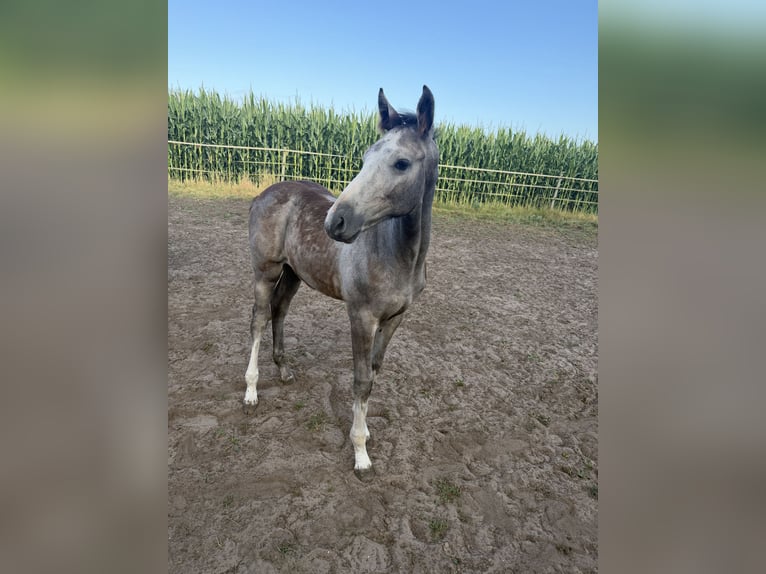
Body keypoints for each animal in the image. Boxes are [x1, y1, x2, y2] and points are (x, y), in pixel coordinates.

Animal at [244, 86, 438, 476]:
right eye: (365, 158)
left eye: (402, 163)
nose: (335, 222)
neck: (397, 255)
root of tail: (264, 193)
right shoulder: (361, 316)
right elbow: (361, 380)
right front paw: (360, 452)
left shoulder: (395, 319)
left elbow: (374, 373)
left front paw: (365, 431)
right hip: (265, 271)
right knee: (258, 320)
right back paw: (251, 391)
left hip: (294, 273)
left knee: (279, 311)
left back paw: (284, 370)